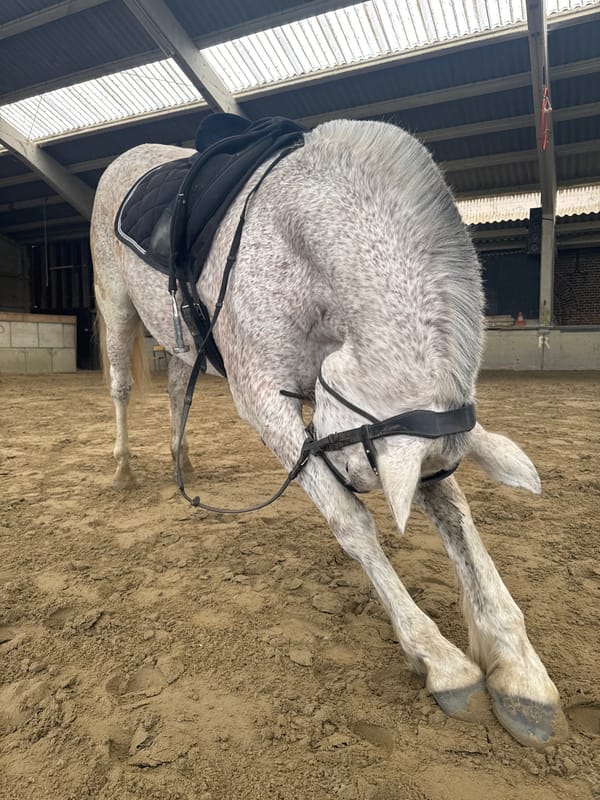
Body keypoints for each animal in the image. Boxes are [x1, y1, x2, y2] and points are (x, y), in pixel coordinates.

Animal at [90, 118, 568, 751]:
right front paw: (441, 659)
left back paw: (181, 461)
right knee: (121, 387)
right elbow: (354, 524)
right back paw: (121, 469)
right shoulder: (265, 403)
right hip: (117, 306)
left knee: (174, 390)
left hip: (181, 341)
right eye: (362, 466)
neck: (295, 240)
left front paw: (518, 669)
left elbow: (458, 522)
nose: (343, 471)